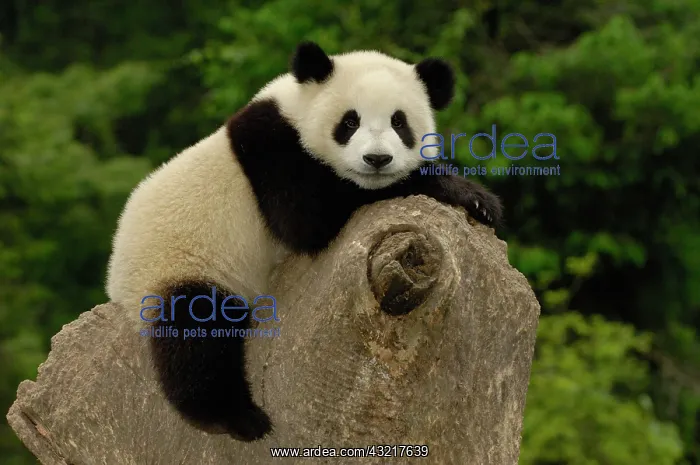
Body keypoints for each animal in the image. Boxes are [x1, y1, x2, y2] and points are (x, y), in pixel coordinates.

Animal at [106, 41, 502, 442]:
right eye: (350, 122)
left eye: (399, 122)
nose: (377, 159)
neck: (296, 108)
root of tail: (116, 282)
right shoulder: (273, 150)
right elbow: (308, 217)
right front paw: (465, 191)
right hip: (180, 264)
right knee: (196, 329)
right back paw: (236, 418)